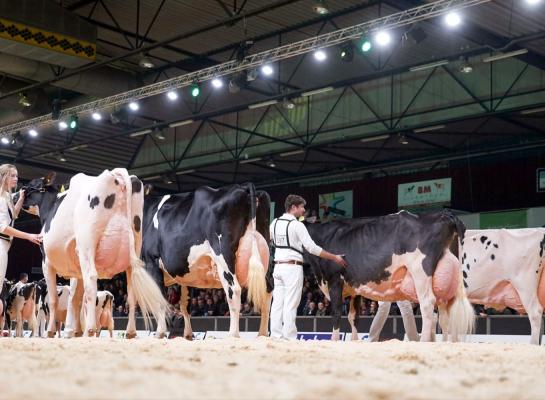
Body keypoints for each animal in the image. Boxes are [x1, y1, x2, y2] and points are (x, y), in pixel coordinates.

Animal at [20, 170, 168, 340]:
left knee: (91, 280)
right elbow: (76, 298)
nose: (17, 193)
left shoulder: (46, 262)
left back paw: (90, 329)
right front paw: (75, 331)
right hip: (134, 248)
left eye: (30, 184)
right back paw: (130, 332)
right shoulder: (77, 268)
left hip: (87, 245)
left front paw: (51, 331)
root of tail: (116, 175)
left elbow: (54, 300)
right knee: (131, 291)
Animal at [141, 184, 270, 338]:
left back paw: (233, 334)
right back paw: (262, 334)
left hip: (223, 256)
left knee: (234, 290)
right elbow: (185, 305)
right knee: (268, 291)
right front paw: (188, 335)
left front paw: (159, 333)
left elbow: (157, 300)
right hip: (265, 257)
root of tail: (244, 187)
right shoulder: (183, 274)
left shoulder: (151, 262)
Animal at [304, 209, 474, 340]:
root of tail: (445, 214)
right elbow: (354, 318)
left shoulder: (334, 281)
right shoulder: (354, 288)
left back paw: (424, 341)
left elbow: (337, 314)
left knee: (428, 305)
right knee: (444, 313)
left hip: (420, 271)